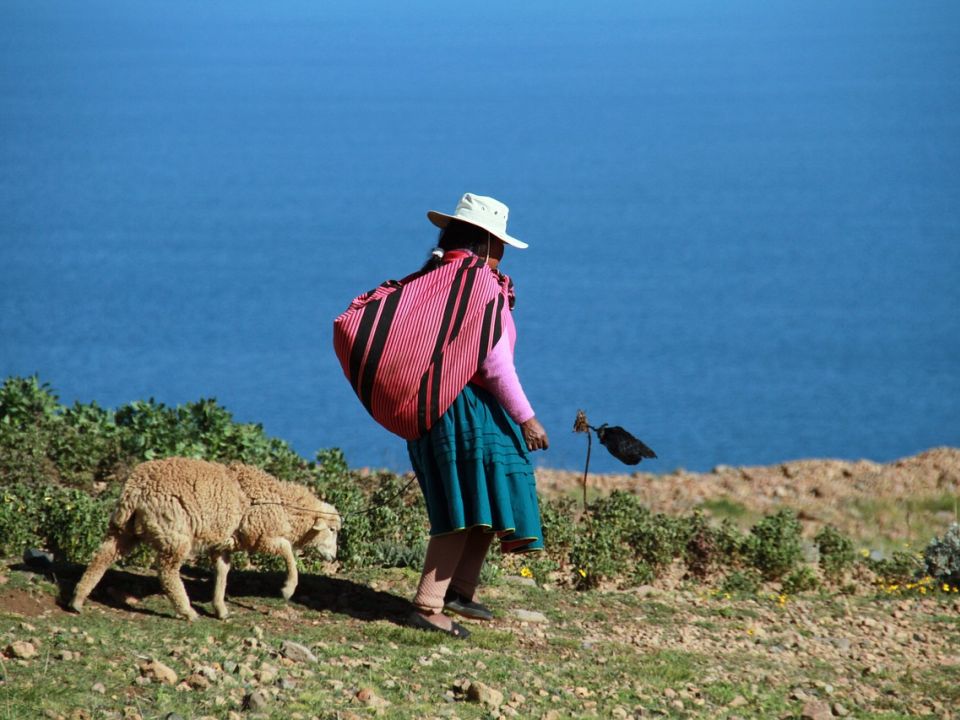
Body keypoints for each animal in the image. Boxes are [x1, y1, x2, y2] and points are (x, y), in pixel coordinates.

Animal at [68, 458, 338, 620]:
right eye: (333, 530)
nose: (334, 556)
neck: (283, 503)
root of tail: (135, 490)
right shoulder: (261, 535)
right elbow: (288, 550)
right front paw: (288, 588)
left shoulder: (223, 544)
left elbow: (222, 573)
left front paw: (220, 608)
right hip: (174, 534)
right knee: (167, 572)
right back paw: (187, 611)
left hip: (124, 529)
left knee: (103, 555)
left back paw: (78, 599)